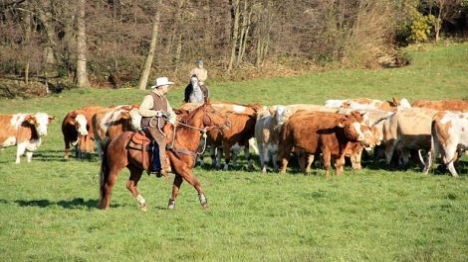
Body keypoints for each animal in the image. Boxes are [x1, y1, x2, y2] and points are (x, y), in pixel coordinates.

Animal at [99, 100, 230, 211]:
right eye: (213, 111)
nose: (228, 123)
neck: (183, 139)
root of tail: (113, 140)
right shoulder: (183, 170)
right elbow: (197, 183)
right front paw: (204, 203)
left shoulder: (180, 173)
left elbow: (175, 189)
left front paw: (171, 206)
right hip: (115, 168)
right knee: (108, 185)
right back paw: (105, 207)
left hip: (136, 169)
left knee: (130, 185)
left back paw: (143, 204)